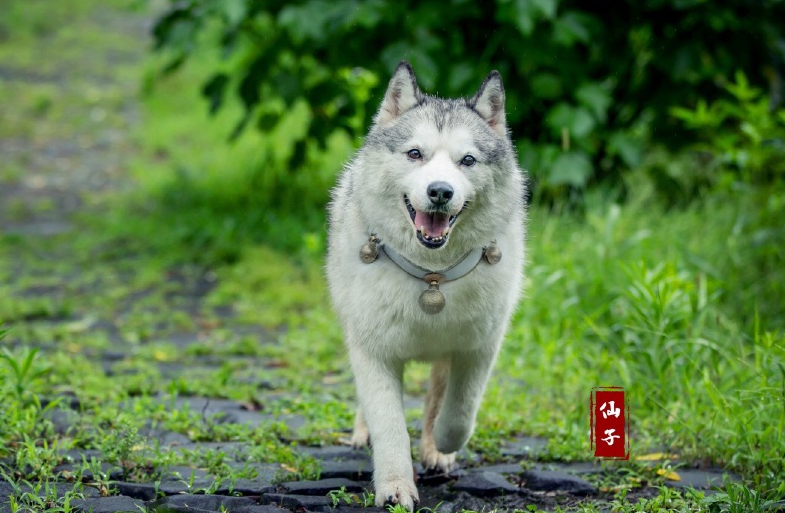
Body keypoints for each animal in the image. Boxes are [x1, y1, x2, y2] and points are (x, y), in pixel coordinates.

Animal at [324, 61, 528, 508]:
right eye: (415, 154)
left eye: (467, 160)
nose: (440, 191)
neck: (432, 277)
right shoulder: (374, 351)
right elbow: (389, 425)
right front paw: (395, 488)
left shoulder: (478, 348)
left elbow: (459, 412)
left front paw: (443, 443)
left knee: (438, 395)